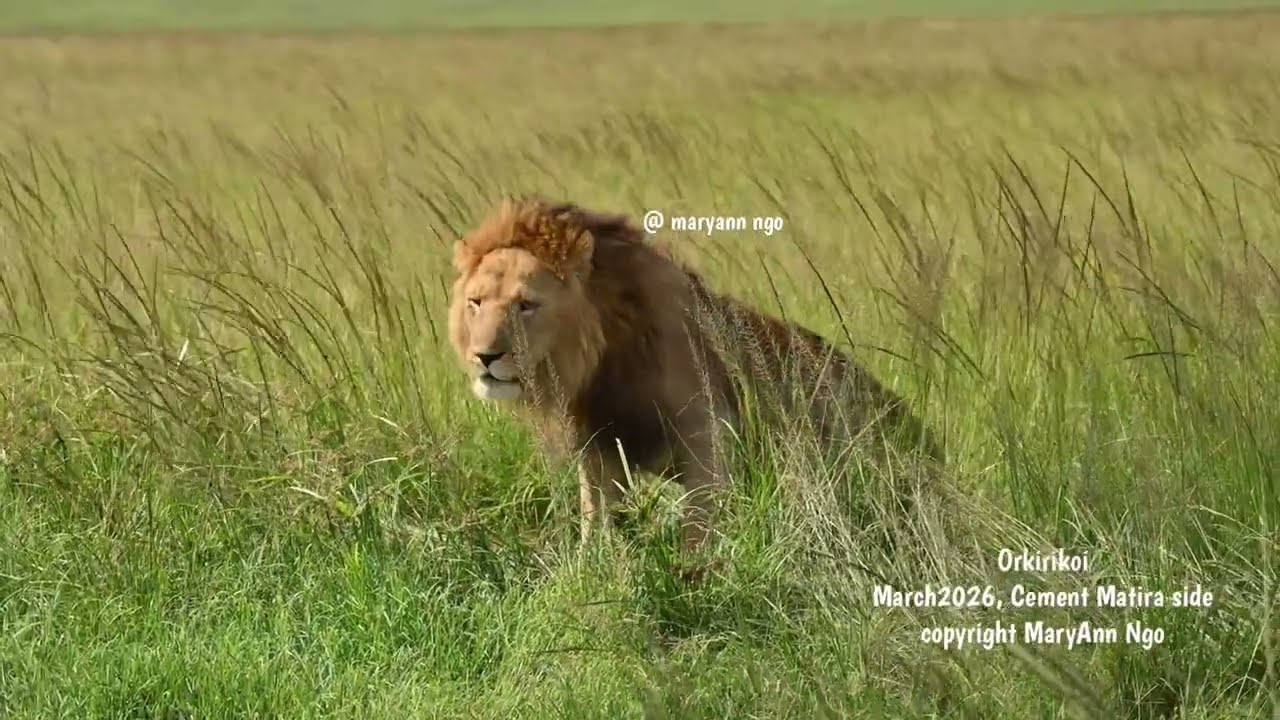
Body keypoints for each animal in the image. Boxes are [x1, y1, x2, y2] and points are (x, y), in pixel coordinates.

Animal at [447, 197, 943, 577]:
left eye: (526, 305)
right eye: (476, 303)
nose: (484, 357)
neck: (600, 356)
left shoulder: (708, 435)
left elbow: (697, 524)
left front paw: (693, 578)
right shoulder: (598, 445)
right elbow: (595, 517)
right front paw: (589, 571)